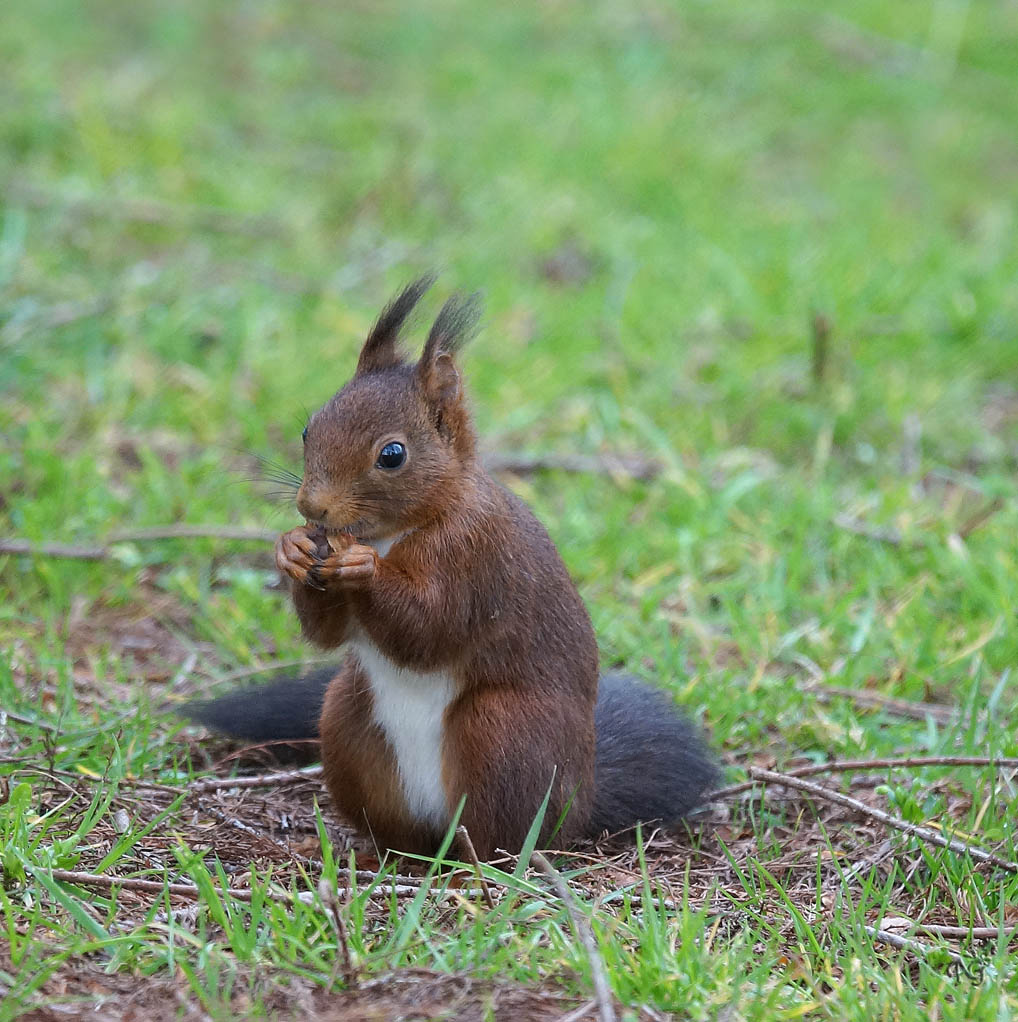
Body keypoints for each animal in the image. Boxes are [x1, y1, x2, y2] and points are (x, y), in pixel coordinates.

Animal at [189, 282, 715, 862]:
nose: (312, 506)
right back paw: (373, 853)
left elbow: (431, 629)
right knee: (403, 835)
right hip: (346, 718)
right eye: (309, 429)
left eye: (392, 454)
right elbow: (329, 633)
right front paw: (292, 548)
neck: (399, 528)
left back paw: (471, 870)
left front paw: (363, 568)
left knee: (501, 843)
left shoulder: (475, 556)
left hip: (504, 735)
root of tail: (581, 802)